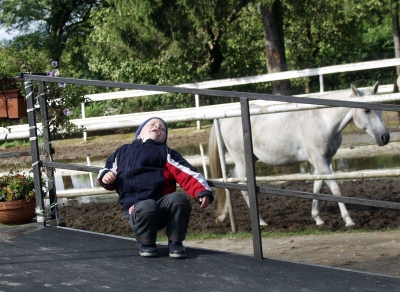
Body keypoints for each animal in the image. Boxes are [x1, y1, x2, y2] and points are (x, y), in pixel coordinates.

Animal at [209, 82, 390, 228]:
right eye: (366, 110)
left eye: (381, 108)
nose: (385, 137)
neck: (322, 120)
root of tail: (225, 118)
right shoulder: (319, 160)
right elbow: (335, 188)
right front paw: (349, 221)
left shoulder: (324, 160)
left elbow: (317, 187)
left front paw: (318, 219)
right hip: (242, 160)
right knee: (244, 187)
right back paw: (261, 222)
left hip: (249, 160)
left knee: (231, 181)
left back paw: (223, 217)